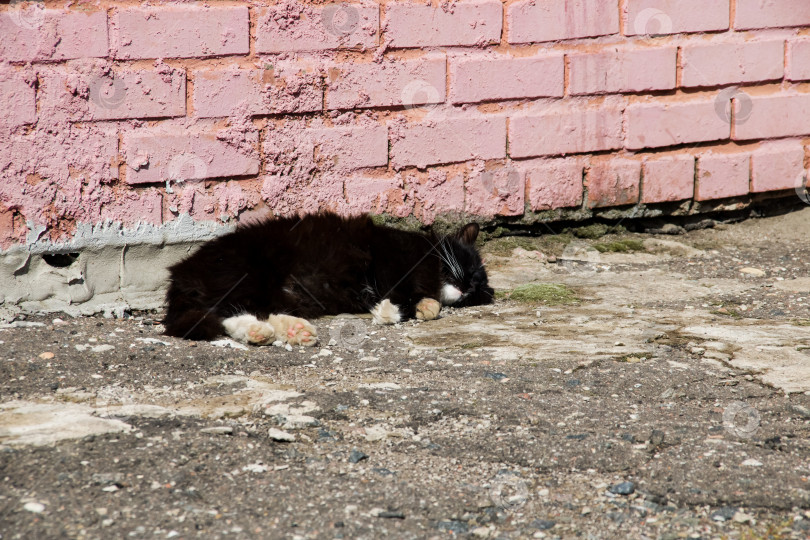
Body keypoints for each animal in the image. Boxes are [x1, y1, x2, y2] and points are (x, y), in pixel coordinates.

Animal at [162, 212, 492, 346]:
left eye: (475, 290)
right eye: (469, 267)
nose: (468, 286)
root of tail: (180, 275)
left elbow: (426, 302)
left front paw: (423, 306)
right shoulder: (387, 259)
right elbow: (400, 292)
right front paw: (389, 311)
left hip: (267, 292)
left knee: (241, 313)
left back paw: (291, 331)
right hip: (245, 275)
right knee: (225, 311)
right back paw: (269, 332)